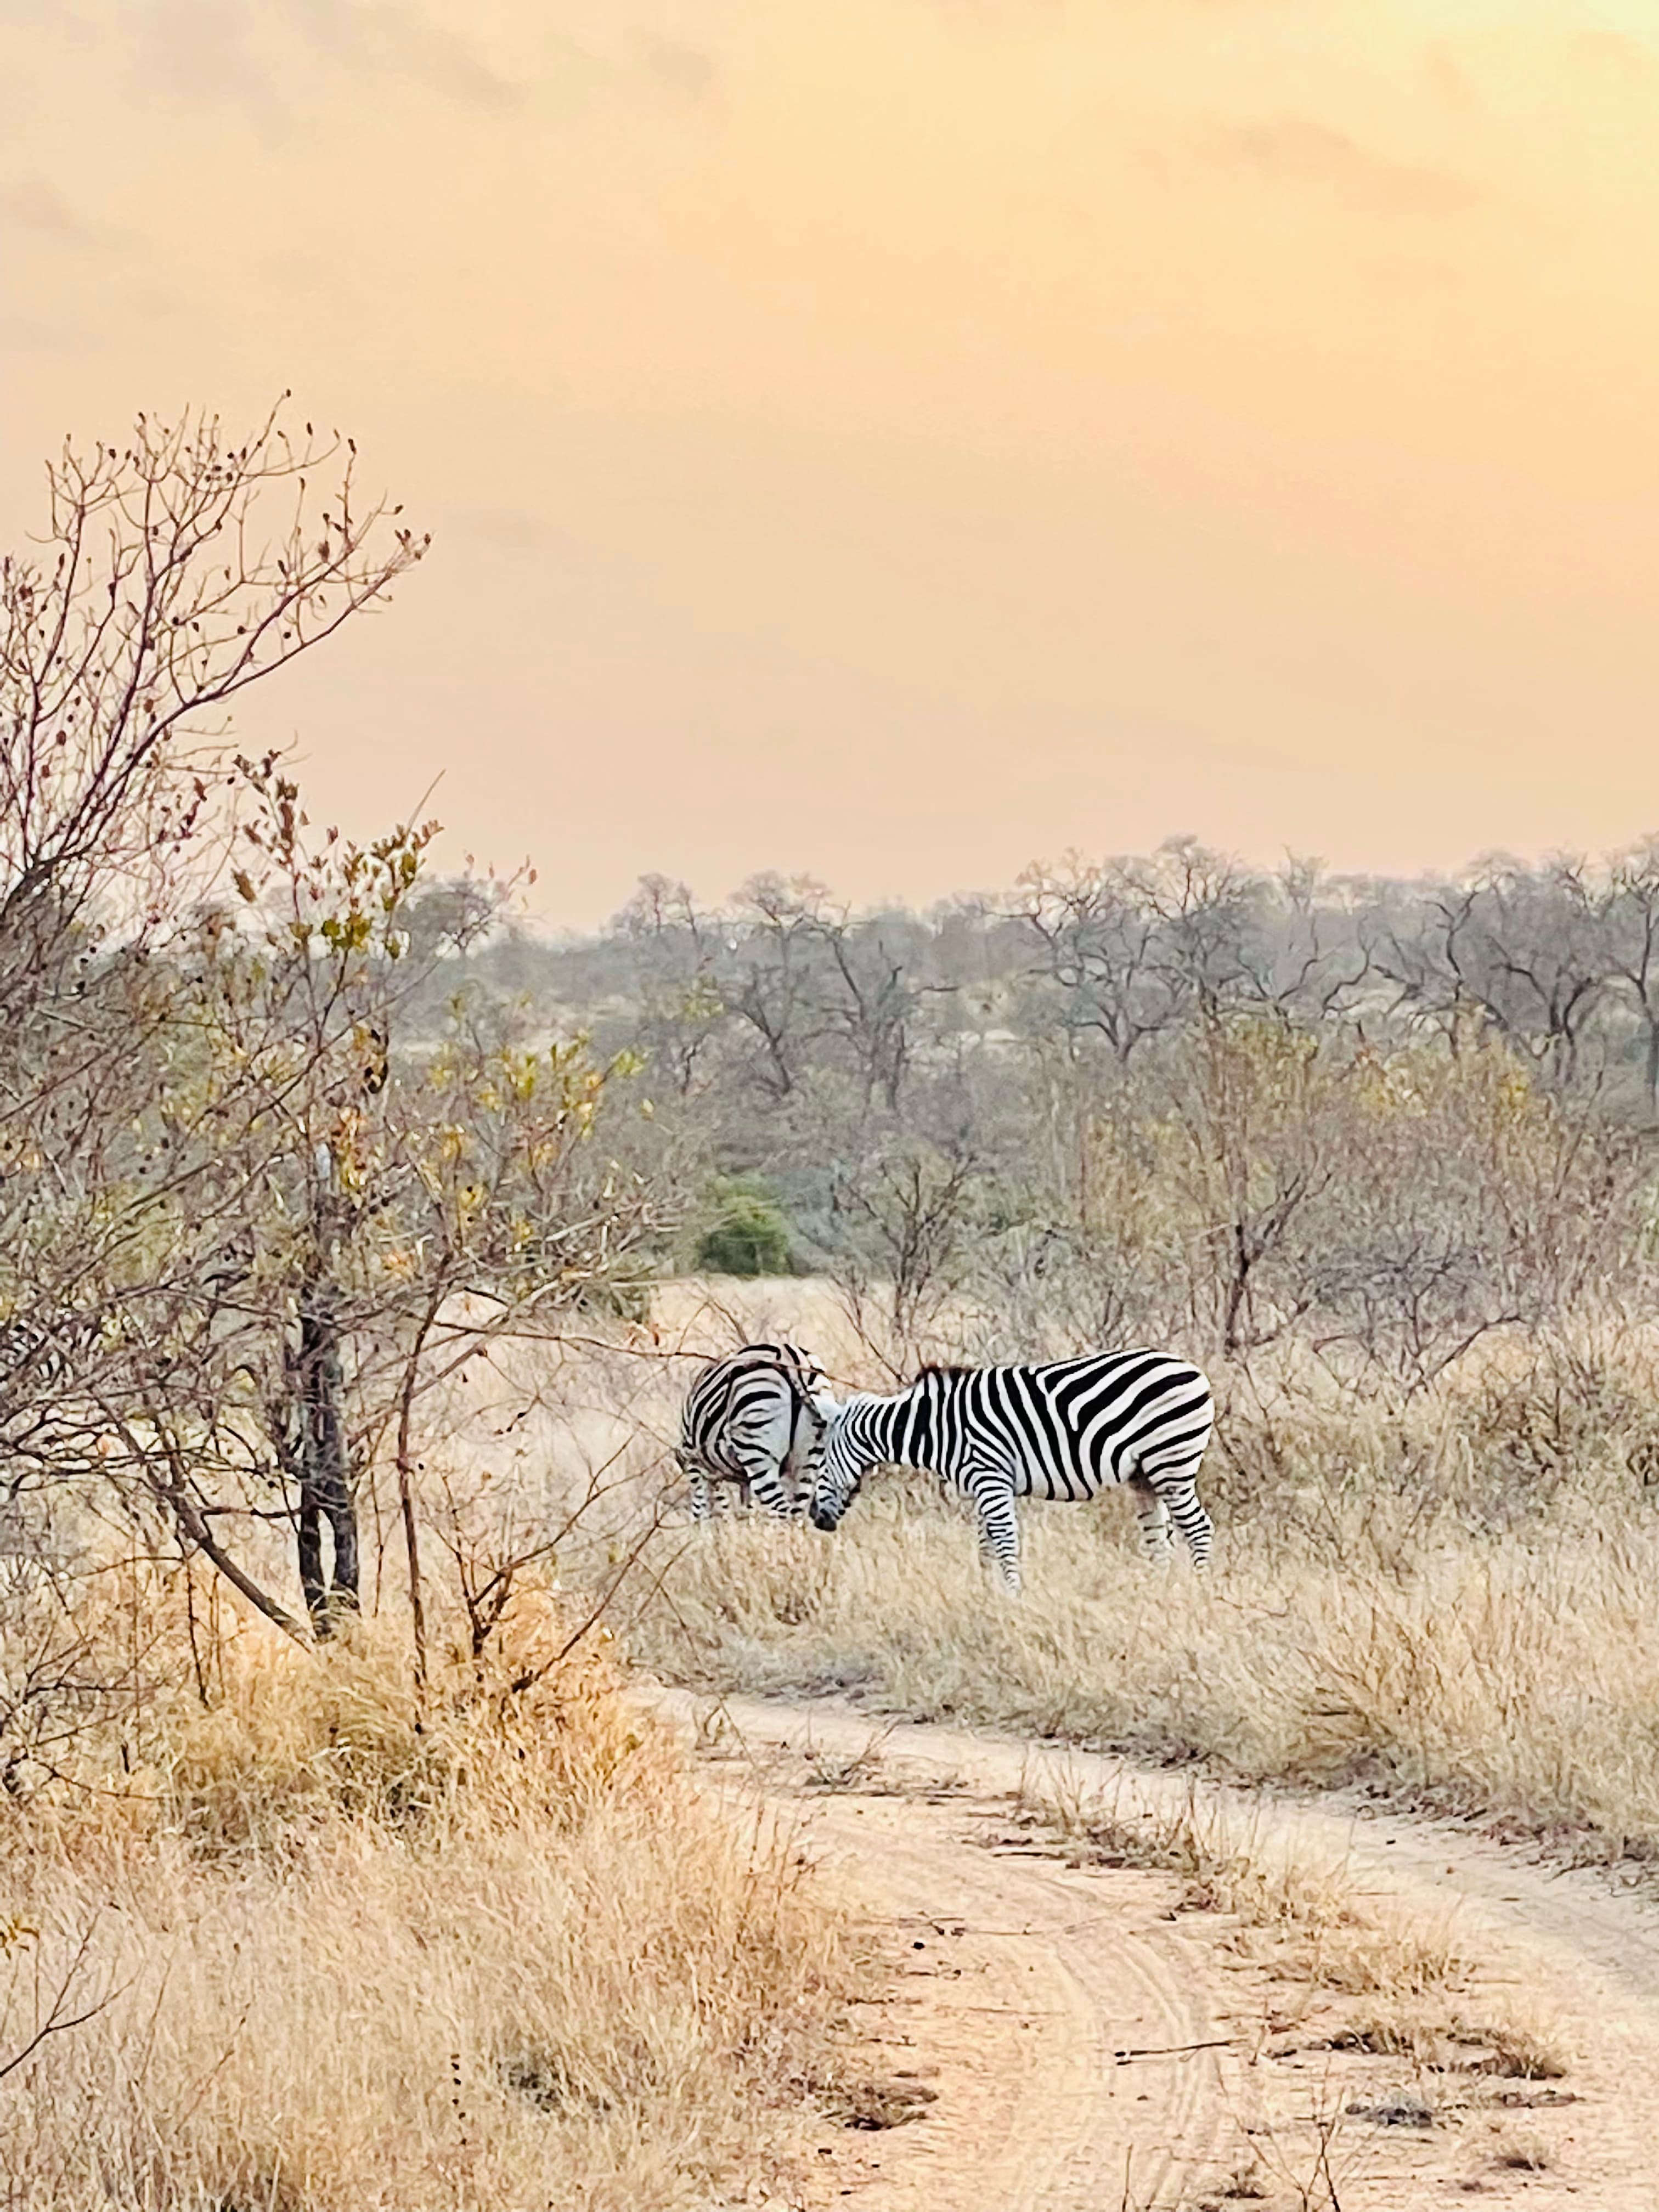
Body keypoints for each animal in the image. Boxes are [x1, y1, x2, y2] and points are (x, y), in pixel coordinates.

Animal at [677, 1342, 838, 1522]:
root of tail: (791, 1356)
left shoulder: (696, 1465)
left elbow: (702, 1510)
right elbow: (746, 1510)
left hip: (757, 1453)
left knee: (783, 1510)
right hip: (808, 1461)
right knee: (796, 1515)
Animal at [808, 1352, 1214, 1591]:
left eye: (822, 1457)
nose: (814, 1516)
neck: (935, 1427)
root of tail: (1194, 1370)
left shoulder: (992, 1478)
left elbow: (1005, 1542)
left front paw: (1013, 1598)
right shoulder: (979, 1485)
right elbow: (985, 1547)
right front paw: (986, 1598)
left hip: (1171, 1464)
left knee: (1199, 1529)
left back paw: (1200, 1593)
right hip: (1144, 1476)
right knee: (1159, 1539)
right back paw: (1156, 1596)